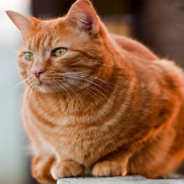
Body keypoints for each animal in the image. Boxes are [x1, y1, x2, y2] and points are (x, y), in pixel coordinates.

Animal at [5, 0, 184, 183]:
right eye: (29, 56)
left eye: (59, 52)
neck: (70, 107)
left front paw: (111, 161)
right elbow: (59, 148)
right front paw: (66, 163)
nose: (36, 71)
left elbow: (125, 146)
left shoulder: (163, 106)